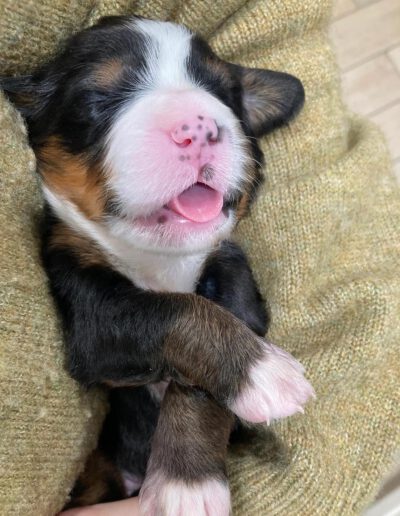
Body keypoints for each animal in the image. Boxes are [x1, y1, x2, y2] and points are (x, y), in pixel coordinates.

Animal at [1, 16, 314, 516]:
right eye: (100, 99)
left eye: (223, 93)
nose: (199, 127)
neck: (162, 261)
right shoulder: (89, 313)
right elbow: (174, 311)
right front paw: (264, 371)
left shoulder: (235, 279)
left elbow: (204, 366)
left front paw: (186, 479)